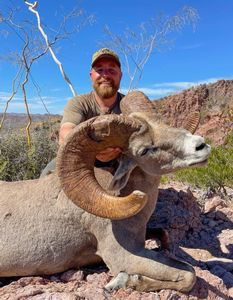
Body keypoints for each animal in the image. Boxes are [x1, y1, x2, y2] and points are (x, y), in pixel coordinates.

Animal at [0, 92, 211, 292]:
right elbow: (189, 274)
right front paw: (128, 281)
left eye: (164, 123)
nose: (201, 145)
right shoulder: (123, 256)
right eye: (144, 150)